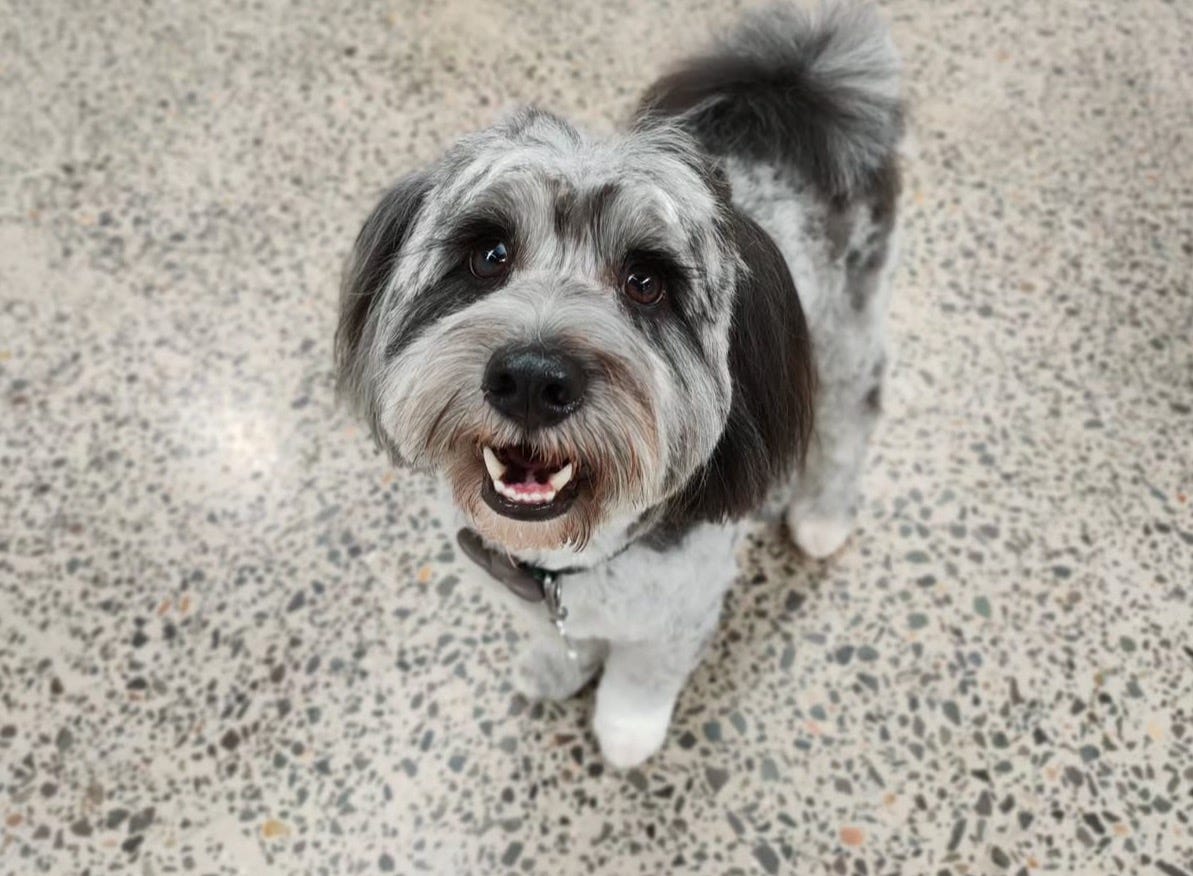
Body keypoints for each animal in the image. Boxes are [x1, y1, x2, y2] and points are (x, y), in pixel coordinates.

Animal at [335, 1, 903, 767]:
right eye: (489, 254)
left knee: (850, 412)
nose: (530, 378)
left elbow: (642, 673)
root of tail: (798, 82)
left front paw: (626, 729)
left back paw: (822, 515)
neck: (571, 558)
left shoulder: (681, 611)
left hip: (846, 324)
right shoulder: (522, 591)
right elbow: (556, 640)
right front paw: (555, 669)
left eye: (646, 282)